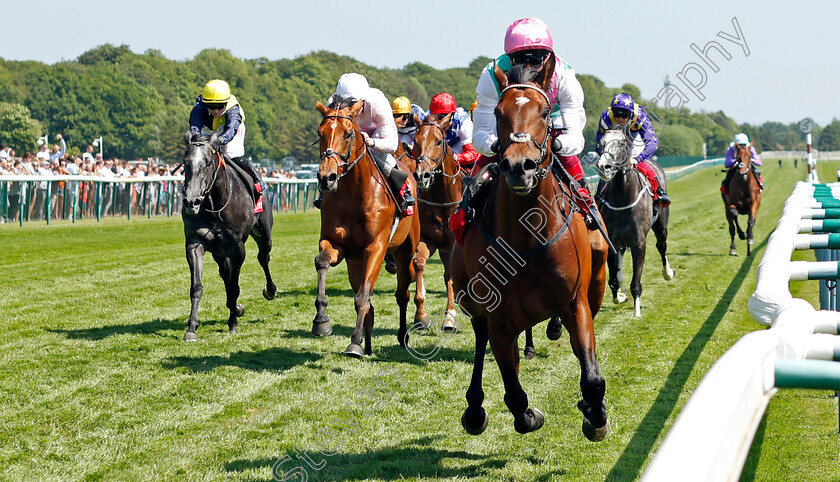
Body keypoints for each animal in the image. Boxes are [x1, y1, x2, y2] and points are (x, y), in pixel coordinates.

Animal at [182, 130, 278, 340]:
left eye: (208, 163)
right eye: (185, 163)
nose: (191, 202)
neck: (215, 206)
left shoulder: (237, 248)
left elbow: (234, 286)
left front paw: (232, 323)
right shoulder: (195, 243)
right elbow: (197, 287)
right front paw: (191, 328)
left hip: (263, 233)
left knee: (263, 257)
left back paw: (270, 291)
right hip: (218, 251)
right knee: (225, 272)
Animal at [314, 97, 424, 358]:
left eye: (348, 134)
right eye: (320, 132)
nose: (326, 178)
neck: (353, 194)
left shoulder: (376, 247)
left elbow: (363, 297)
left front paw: (354, 343)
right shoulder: (336, 244)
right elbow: (322, 262)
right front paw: (321, 320)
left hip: (404, 251)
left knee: (402, 293)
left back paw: (402, 336)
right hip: (355, 263)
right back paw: (370, 342)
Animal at [452, 59, 612, 440]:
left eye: (544, 112)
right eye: (498, 112)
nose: (517, 166)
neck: (527, 239)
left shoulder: (576, 302)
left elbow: (592, 377)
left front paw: (595, 414)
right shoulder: (498, 317)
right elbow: (513, 393)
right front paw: (528, 414)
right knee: (482, 340)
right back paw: (475, 408)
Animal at [596, 128, 676, 318]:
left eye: (621, 144)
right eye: (601, 144)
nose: (604, 167)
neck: (622, 200)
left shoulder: (639, 242)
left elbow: (636, 281)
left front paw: (637, 311)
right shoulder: (612, 241)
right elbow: (612, 279)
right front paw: (620, 295)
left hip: (661, 225)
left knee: (662, 246)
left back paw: (668, 272)